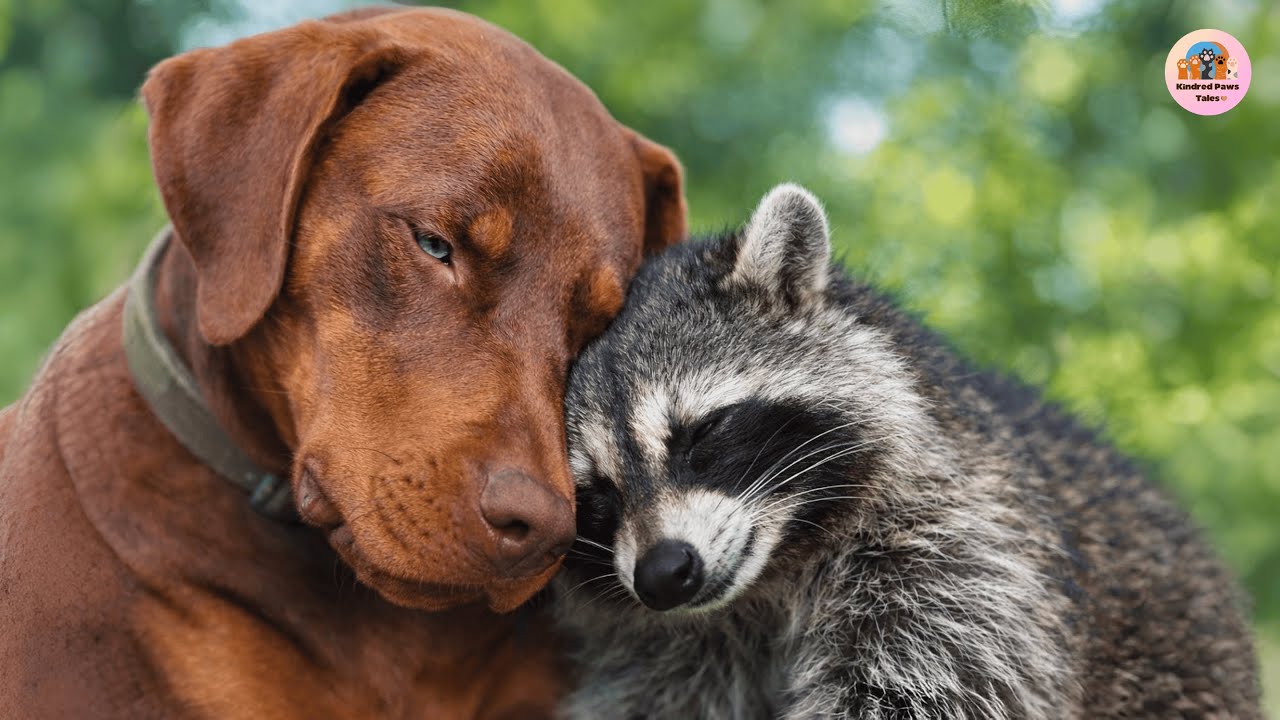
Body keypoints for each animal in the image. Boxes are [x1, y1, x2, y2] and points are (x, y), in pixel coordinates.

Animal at [554, 184, 1260, 719]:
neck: (772, 577)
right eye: (595, 493)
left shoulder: (964, 550)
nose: (662, 574)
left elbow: (933, 690)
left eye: (701, 434)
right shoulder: (667, 649)